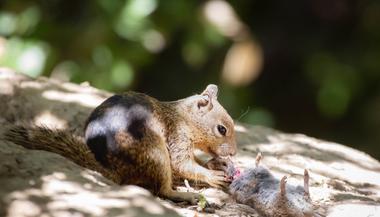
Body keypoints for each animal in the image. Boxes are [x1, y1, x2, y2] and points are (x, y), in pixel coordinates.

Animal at [5, 84, 236, 203]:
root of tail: (115, 170)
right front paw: (212, 175)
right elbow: (182, 164)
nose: (233, 153)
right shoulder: (177, 136)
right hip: (156, 152)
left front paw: (217, 164)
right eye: (222, 129)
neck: (183, 117)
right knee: (161, 190)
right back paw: (182, 194)